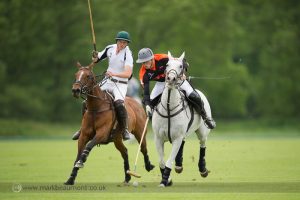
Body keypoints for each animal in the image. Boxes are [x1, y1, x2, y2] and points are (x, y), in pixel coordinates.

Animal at [152, 50, 213, 187]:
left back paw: (203, 169)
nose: (171, 79)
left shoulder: (176, 138)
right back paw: (179, 165)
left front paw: (164, 180)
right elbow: (161, 162)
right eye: (167, 65)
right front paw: (167, 179)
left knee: (203, 144)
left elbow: (168, 161)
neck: (168, 108)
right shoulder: (158, 138)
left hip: (202, 131)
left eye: (181, 66)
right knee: (184, 142)